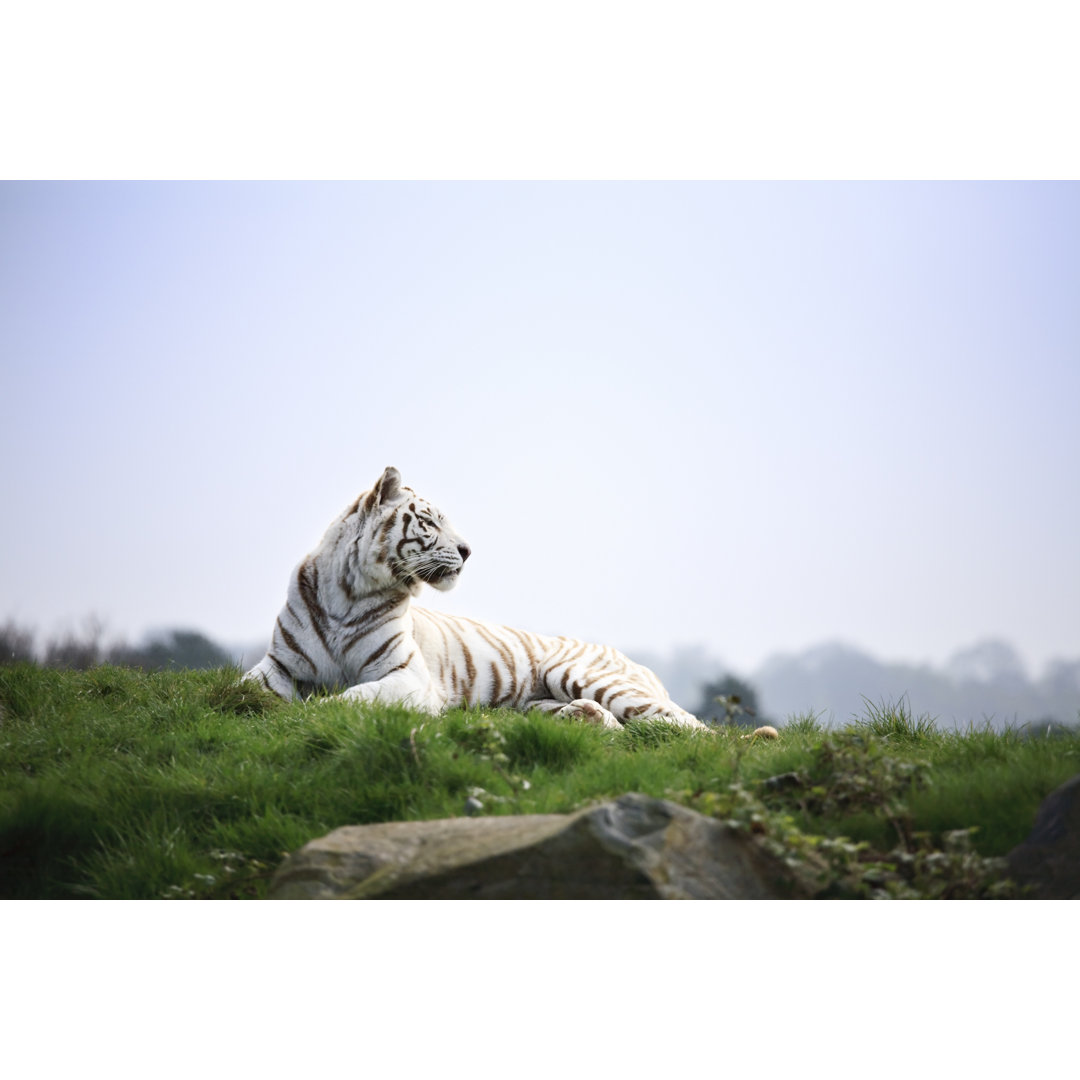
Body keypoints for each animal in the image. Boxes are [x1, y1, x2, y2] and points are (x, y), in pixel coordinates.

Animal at [245, 466, 708, 734]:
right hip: (537, 703)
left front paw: (314, 712)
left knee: (692, 728)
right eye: (430, 522)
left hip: (580, 672)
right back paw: (585, 719)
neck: (348, 591)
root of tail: (640, 663)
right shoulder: (278, 664)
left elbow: (354, 698)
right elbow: (245, 687)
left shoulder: (407, 676)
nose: (468, 551)